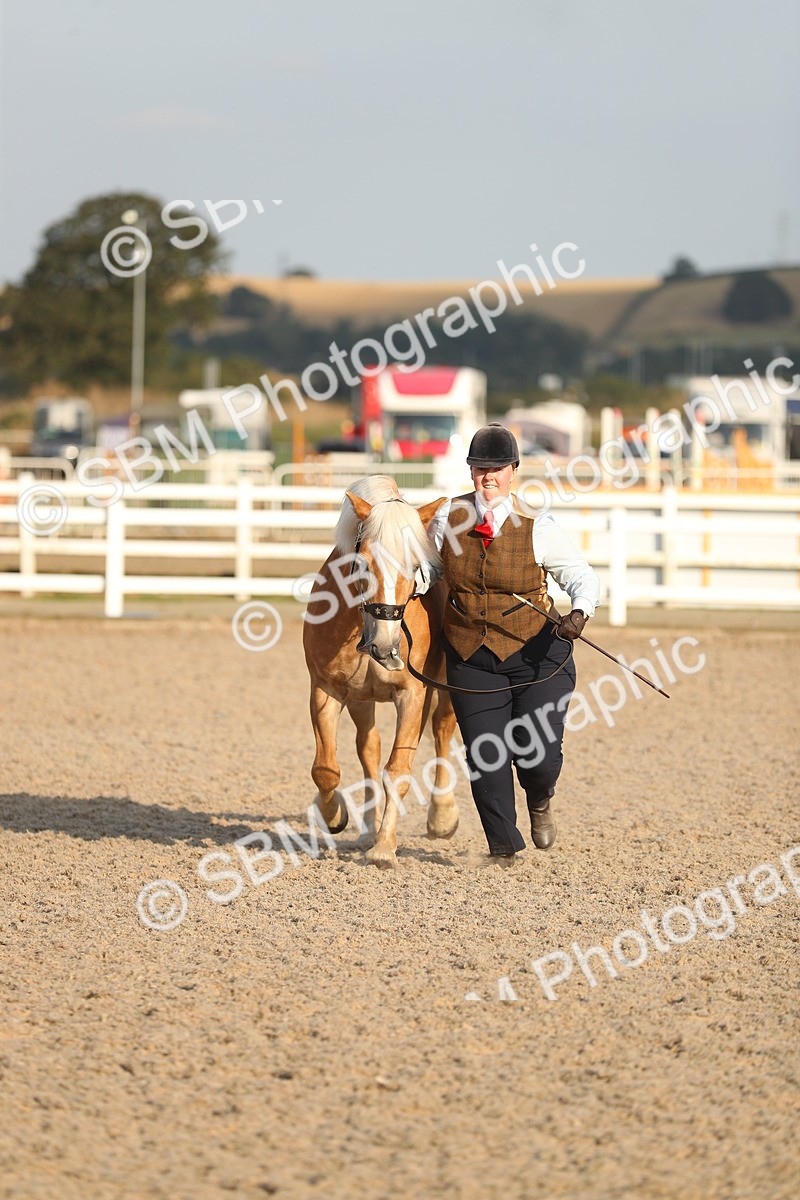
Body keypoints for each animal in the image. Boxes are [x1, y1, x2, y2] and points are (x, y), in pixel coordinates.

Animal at [302, 475, 459, 868]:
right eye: (363, 563)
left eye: (415, 566)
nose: (386, 649)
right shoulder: (325, 690)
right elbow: (326, 769)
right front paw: (335, 816)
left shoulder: (413, 695)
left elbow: (398, 770)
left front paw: (385, 847)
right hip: (362, 700)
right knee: (368, 748)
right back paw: (366, 829)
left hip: (447, 686)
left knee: (442, 729)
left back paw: (442, 816)